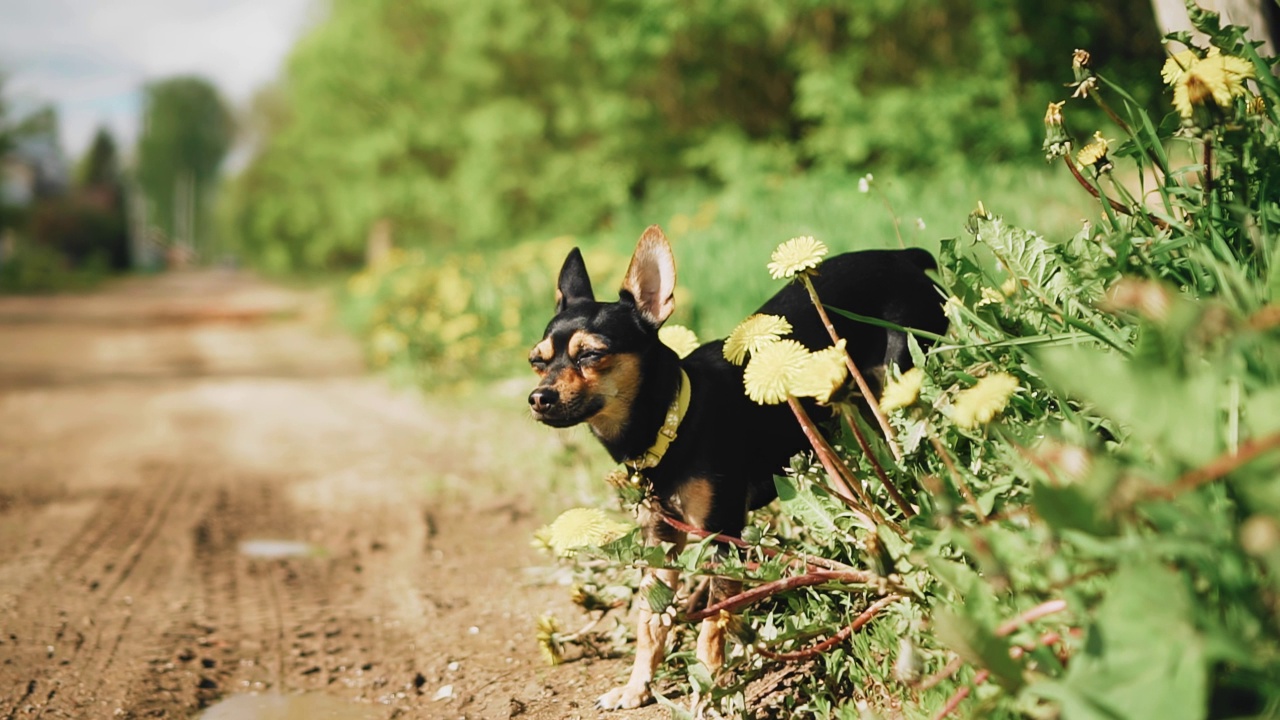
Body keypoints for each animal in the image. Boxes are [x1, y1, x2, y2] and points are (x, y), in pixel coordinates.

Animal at [524, 225, 947, 707]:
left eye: (591, 355)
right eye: (537, 361)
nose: (538, 398)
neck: (673, 423)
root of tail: (903, 257)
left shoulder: (722, 537)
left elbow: (714, 623)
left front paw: (709, 691)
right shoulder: (660, 543)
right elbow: (649, 623)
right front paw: (636, 687)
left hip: (898, 387)